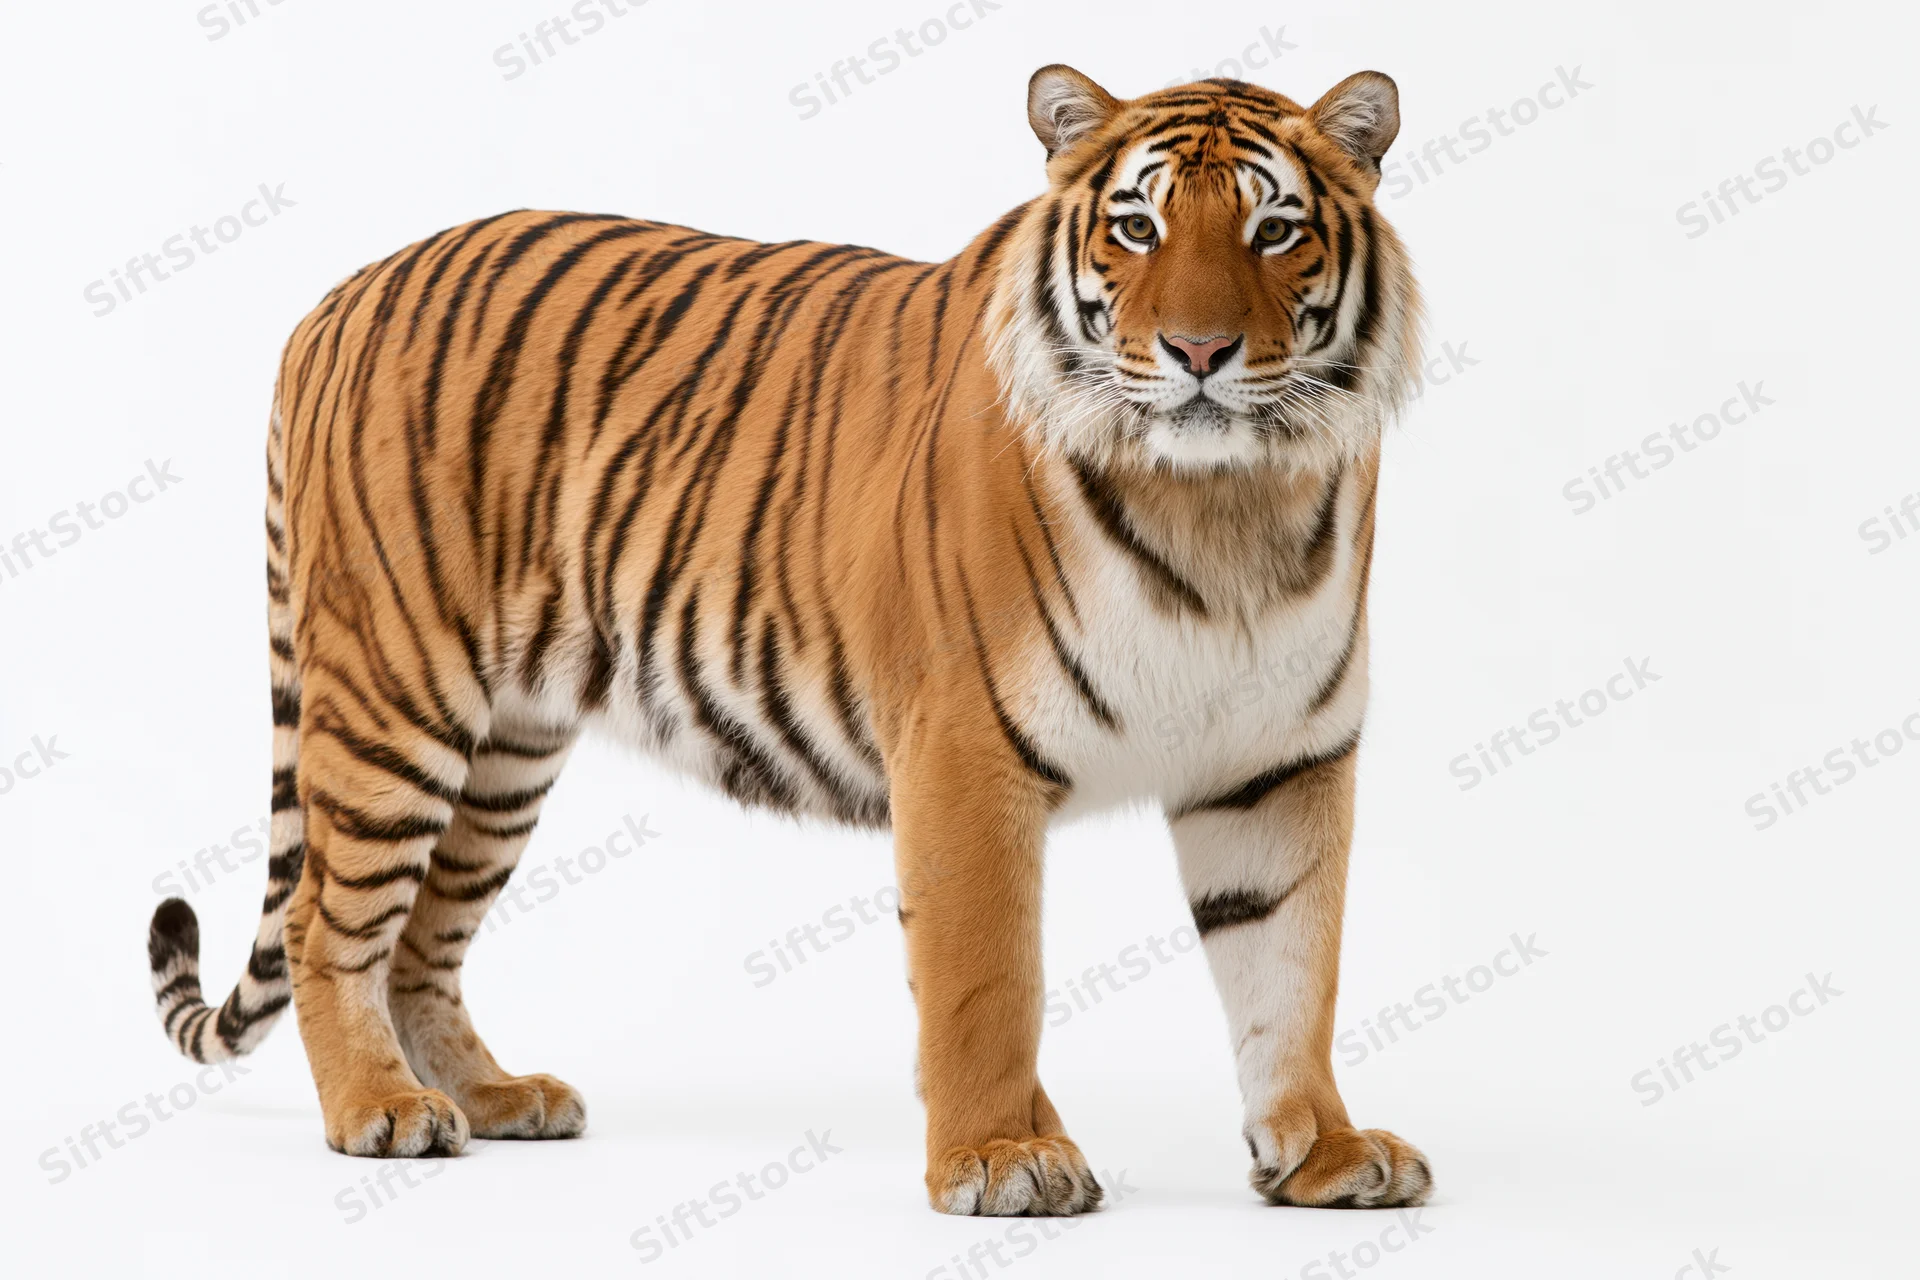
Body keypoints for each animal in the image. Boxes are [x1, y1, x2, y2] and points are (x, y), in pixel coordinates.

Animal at [144, 63, 1430, 1217]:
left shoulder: (1280, 760)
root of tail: (341, 294)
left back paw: (495, 1095)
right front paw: (1001, 1158)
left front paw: (1323, 1150)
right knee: (325, 917)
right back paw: (382, 1109)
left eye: (1274, 230)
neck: (1225, 506)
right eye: (1137, 227)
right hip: (395, 698)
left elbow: (1291, 969)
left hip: (507, 746)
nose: (1200, 354)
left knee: (422, 935)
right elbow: (987, 982)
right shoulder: (966, 752)